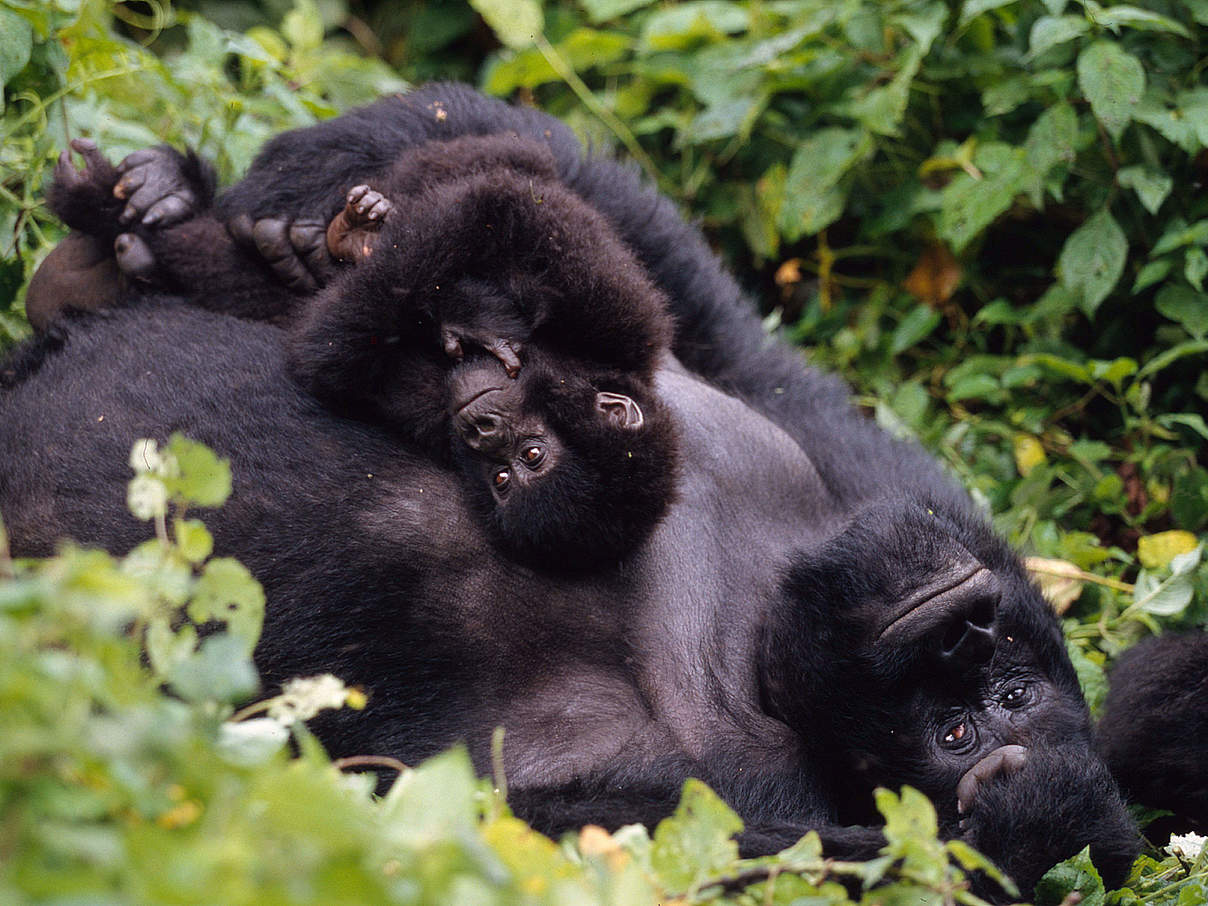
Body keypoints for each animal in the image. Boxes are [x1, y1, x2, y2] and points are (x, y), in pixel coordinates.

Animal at [2, 86, 1130, 903]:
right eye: (1005, 681)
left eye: (973, 727)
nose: (958, 629)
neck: (762, 645)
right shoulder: (870, 470)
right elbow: (650, 265)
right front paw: (305, 183)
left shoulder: (731, 805)